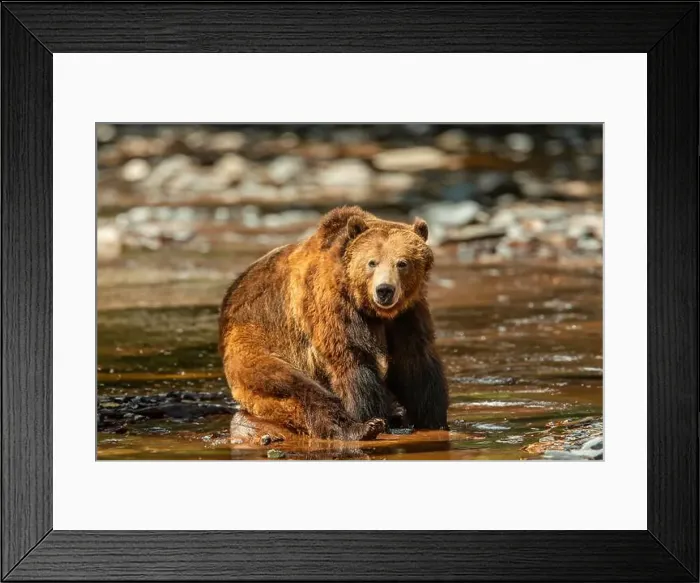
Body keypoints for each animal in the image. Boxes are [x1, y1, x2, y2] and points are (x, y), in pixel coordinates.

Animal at [219, 206, 448, 441]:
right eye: (372, 262)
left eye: (402, 263)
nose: (384, 290)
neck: (372, 311)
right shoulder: (330, 304)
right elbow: (351, 359)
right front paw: (370, 417)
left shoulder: (407, 315)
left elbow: (414, 360)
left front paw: (432, 418)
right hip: (256, 348)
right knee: (295, 388)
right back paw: (358, 428)